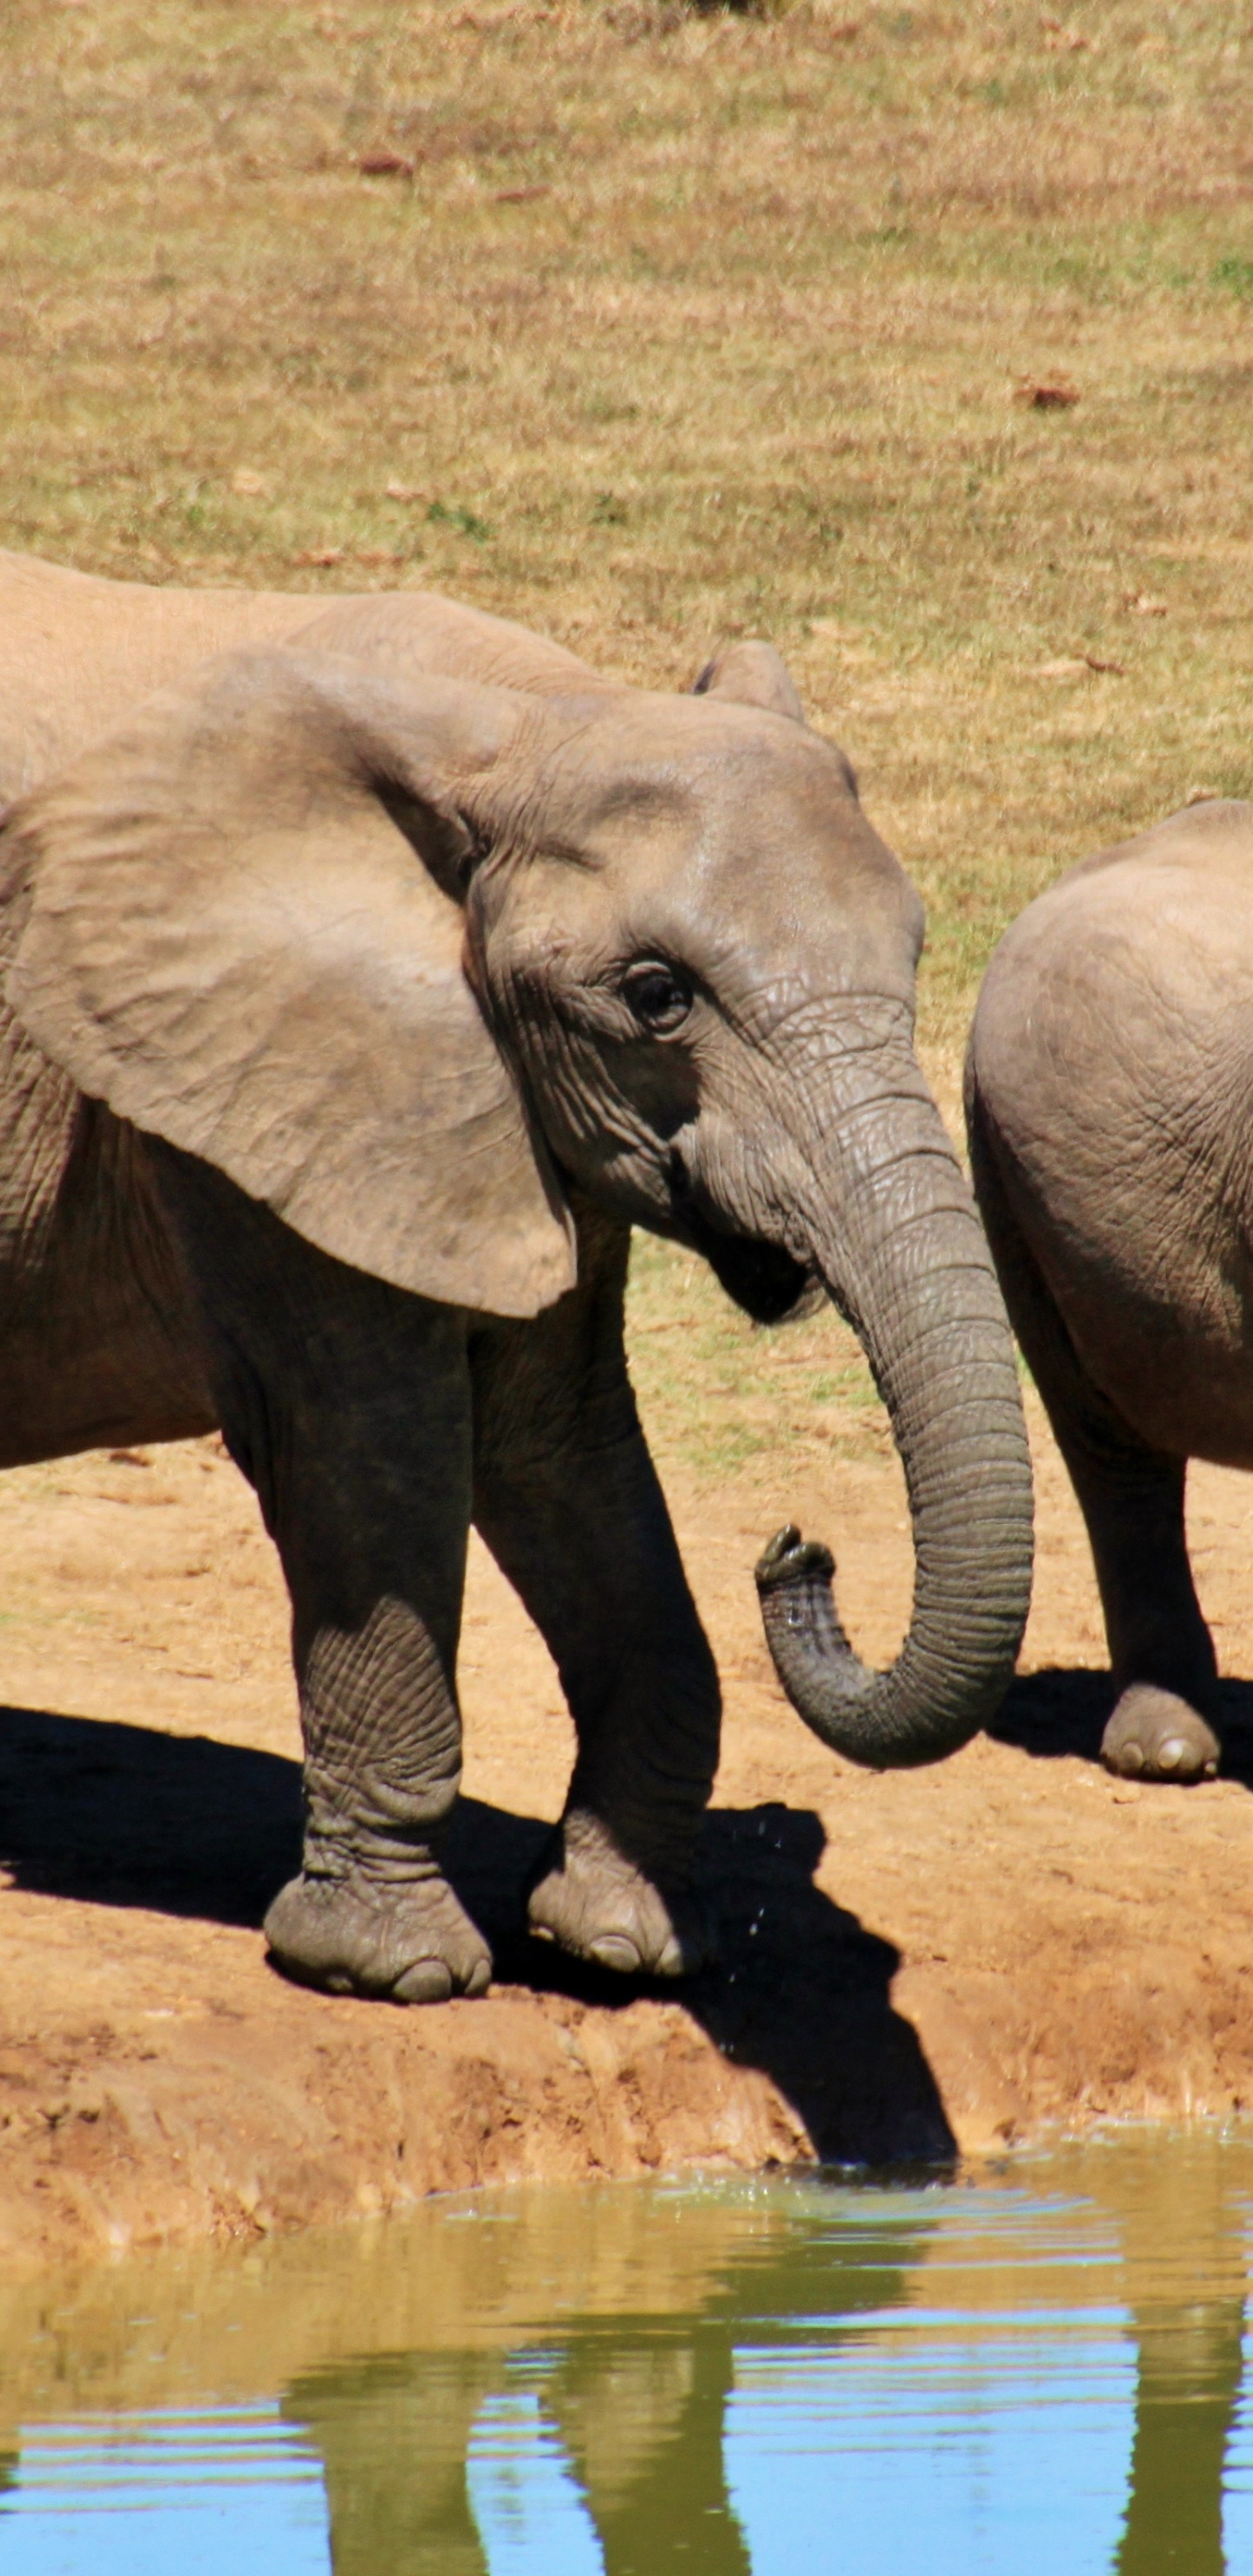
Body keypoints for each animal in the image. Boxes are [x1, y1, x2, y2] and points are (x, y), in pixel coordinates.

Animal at [0, 548, 1033, 2002]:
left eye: (918, 952)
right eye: (655, 995)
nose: (795, 1548)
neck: (524, 720)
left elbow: (556, 1439)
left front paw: (626, 1941)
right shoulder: (238, 1088)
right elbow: (373, 1444)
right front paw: (393, 1972)